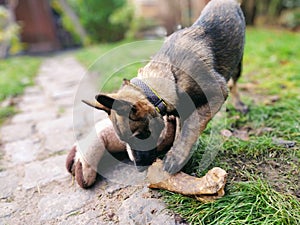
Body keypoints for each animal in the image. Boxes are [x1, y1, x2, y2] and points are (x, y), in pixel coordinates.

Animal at [84, 0, 246, 174]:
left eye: (139, 136)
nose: (139, 169)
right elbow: (181, 129)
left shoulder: (216, 92)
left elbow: (191, 125)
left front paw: (176, 156)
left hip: (238, 65)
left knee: (234, 83)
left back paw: (239, 104)